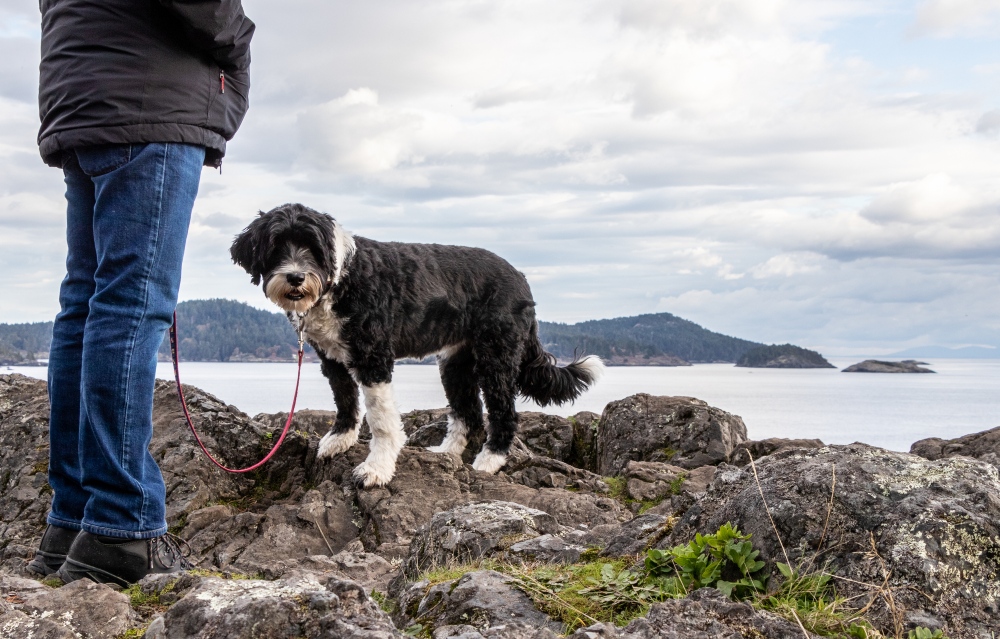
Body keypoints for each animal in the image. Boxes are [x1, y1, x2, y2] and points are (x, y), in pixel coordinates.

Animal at [232, 205, 600, 490]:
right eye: (276, 245)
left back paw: (489, 460)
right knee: (468, 413)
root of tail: (520, 277)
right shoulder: (332, 358)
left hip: (496, 356)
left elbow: (381, 420)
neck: (340, 280)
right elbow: (345, 399)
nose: (295, 277)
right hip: (455, 363)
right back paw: (446, 454)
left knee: (502, 412)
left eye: (311, 247)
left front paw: (376, 469)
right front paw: (340, 439)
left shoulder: (373, 357)